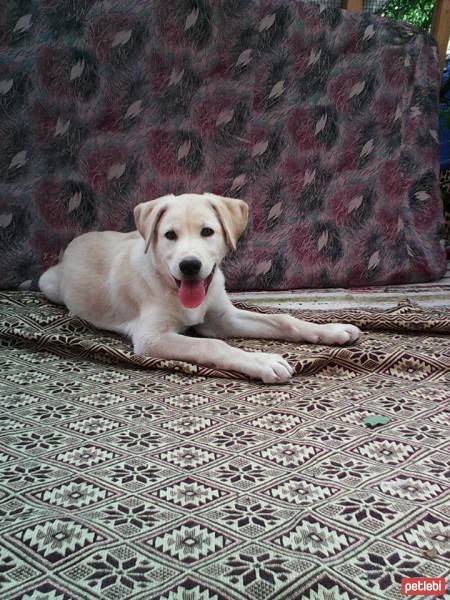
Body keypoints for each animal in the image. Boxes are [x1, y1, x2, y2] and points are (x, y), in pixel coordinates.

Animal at [39, 197, 362, 384]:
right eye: (169, 235)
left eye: (207, 232)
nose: (190, 265)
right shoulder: (151, 337)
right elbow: (211, 345)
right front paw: (262, 361)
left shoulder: (223, 318)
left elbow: (283, 320)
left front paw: (331, 330)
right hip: (49, 284)